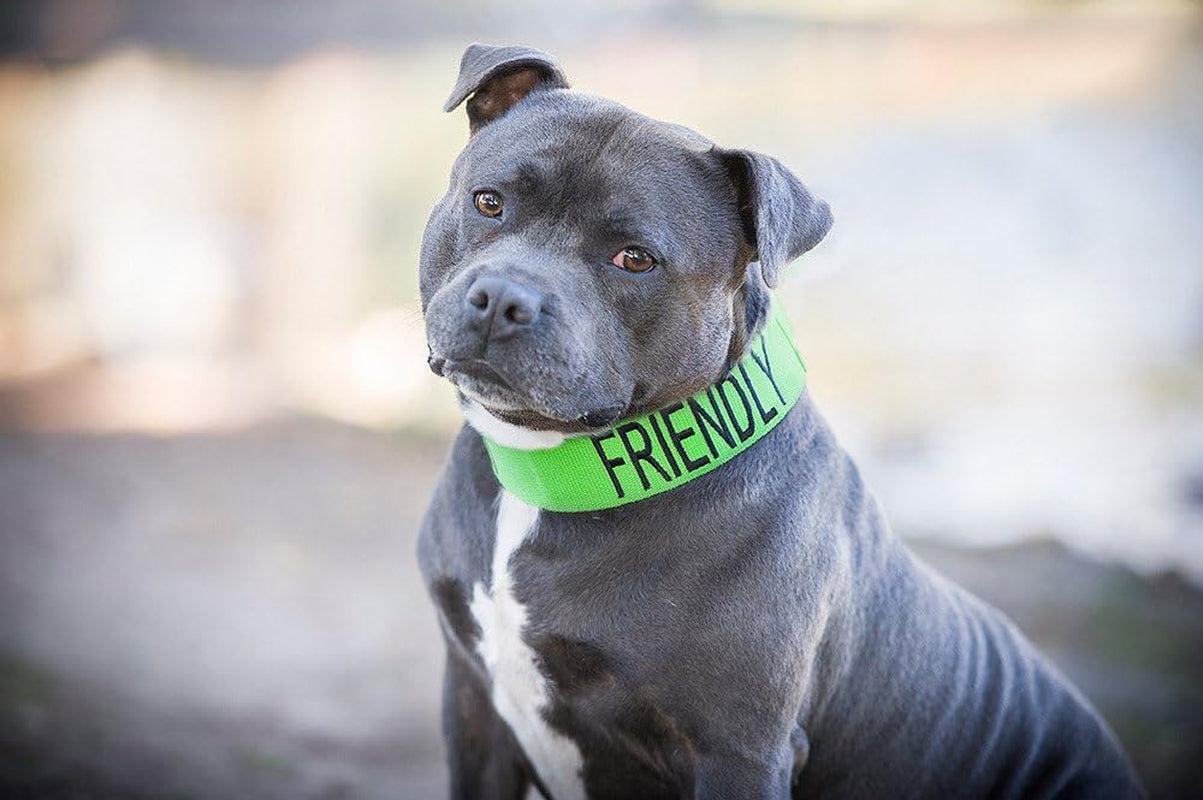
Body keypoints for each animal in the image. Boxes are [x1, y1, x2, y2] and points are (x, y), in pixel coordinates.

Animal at [418, 43, 1140, 798]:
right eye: (489, 202)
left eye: (634, 259)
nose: (503, 298)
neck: (555, 470)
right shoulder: (470, 702)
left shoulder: (738, 751)